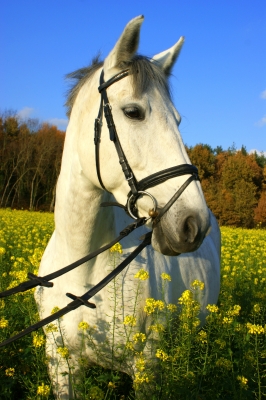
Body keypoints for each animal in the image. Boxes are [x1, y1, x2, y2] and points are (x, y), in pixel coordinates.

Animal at [34, 15, 219, 400]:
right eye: (133, 112)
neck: (83, 265)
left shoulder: (147, 366)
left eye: (178, 120)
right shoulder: (60, 364)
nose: (193, 224)